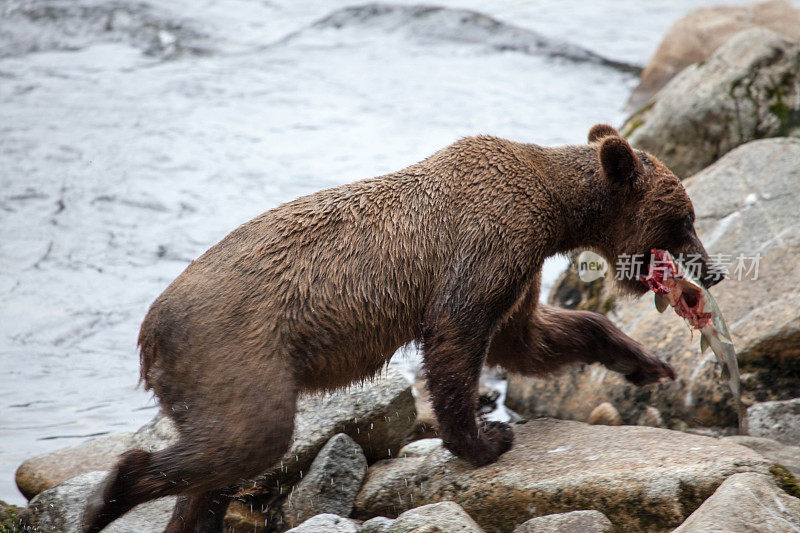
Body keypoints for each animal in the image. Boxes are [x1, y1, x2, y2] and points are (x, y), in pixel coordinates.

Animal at [84, 122, 720, 528]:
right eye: (684, 218)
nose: (710, 270)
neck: (553, 209)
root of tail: (147, 335)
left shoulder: (518, 269)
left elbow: (530, 340)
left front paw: (646, 363)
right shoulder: (487, 246)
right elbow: (457, 339)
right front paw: (487, 439)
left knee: (216, 469)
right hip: (234, 351)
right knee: (249, 438)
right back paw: (109, 495)